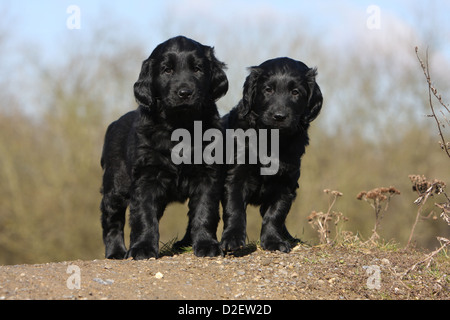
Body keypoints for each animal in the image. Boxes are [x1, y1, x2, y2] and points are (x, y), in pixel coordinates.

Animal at [220, 57, 322, 252]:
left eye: (295, 92)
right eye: (268, 90)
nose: (279, 116)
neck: (271, 139)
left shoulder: (286, 182)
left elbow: (275, 214)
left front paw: (274, 241)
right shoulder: (235, 175)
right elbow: (235, 209)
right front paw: (232, 239)